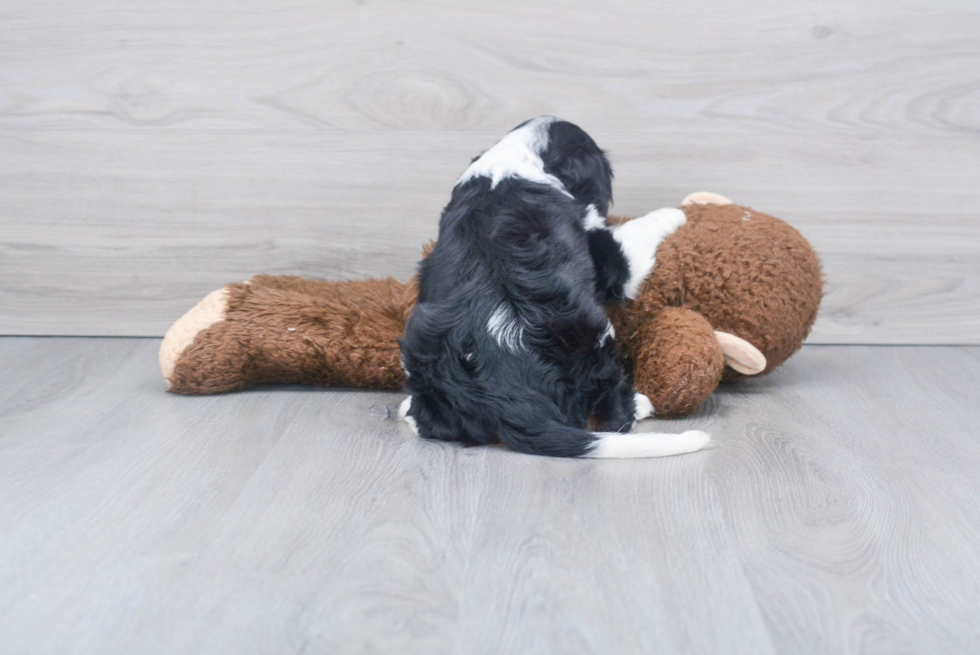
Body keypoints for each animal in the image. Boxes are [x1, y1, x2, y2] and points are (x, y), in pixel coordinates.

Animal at [394, 116, 708, 456]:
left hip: (420, 347)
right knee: (612, 417)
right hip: (594, 336)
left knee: (433, 422)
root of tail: (507, 397)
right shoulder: (607, 254)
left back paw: (407, 410)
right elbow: (635, 231)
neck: (511, 162)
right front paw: (676, 213)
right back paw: (640, 404)